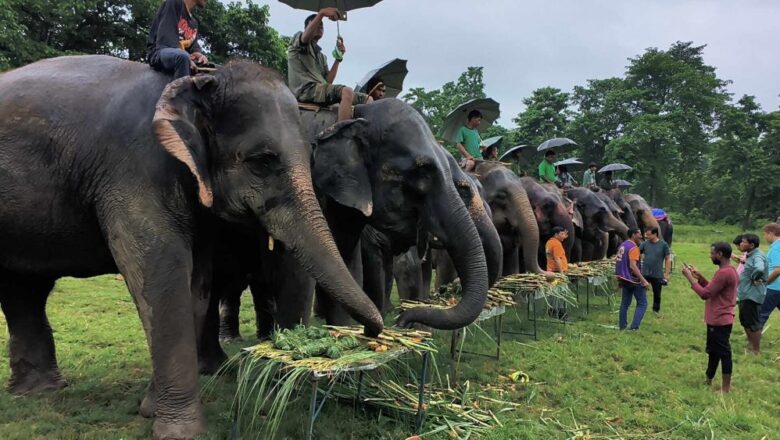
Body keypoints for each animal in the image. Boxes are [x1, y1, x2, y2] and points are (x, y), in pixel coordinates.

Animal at [0, 55, 382, 440]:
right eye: (261, 161)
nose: (370, 333)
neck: (196, 84)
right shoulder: (133, 171)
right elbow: (161, 278)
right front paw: (181, 432)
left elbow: (195, 286)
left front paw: (150, 410)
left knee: (24, 290)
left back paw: (38, 391)